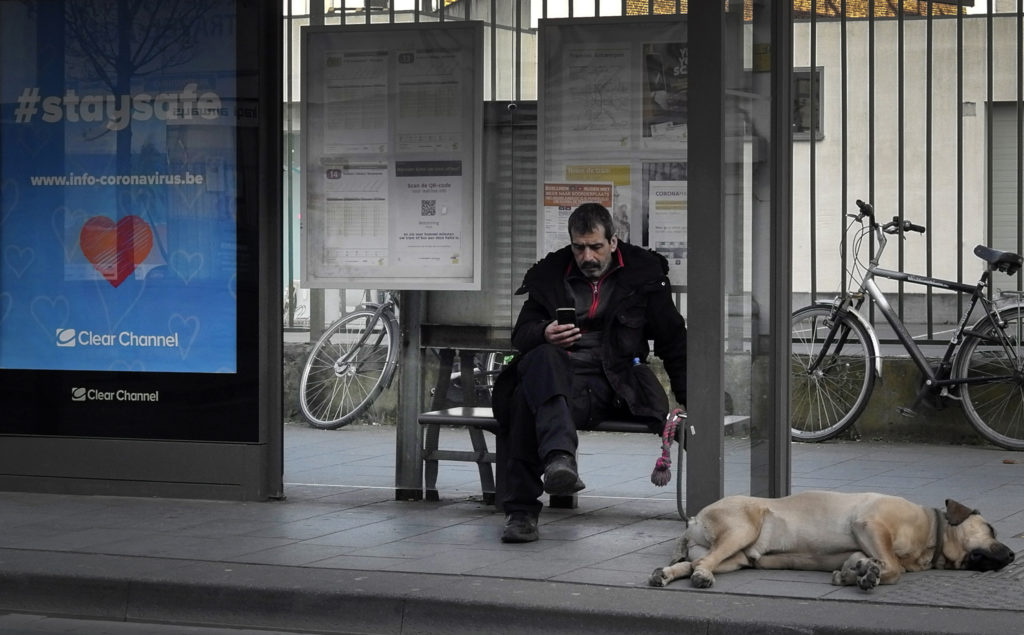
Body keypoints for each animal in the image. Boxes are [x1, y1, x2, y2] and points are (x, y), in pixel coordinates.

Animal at [651, 491, 1011, 589]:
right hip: (742, 530)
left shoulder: (861, 547)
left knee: (694, 561)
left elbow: (870, 562)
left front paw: (858, 572)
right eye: (991, 529)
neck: (931, 536)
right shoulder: (870, 524)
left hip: (736, 557)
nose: (1012, 556)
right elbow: (894, 568)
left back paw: (668, 574)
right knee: (702, 562)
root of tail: (694, 519)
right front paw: (866, 574)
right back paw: (701, 576)